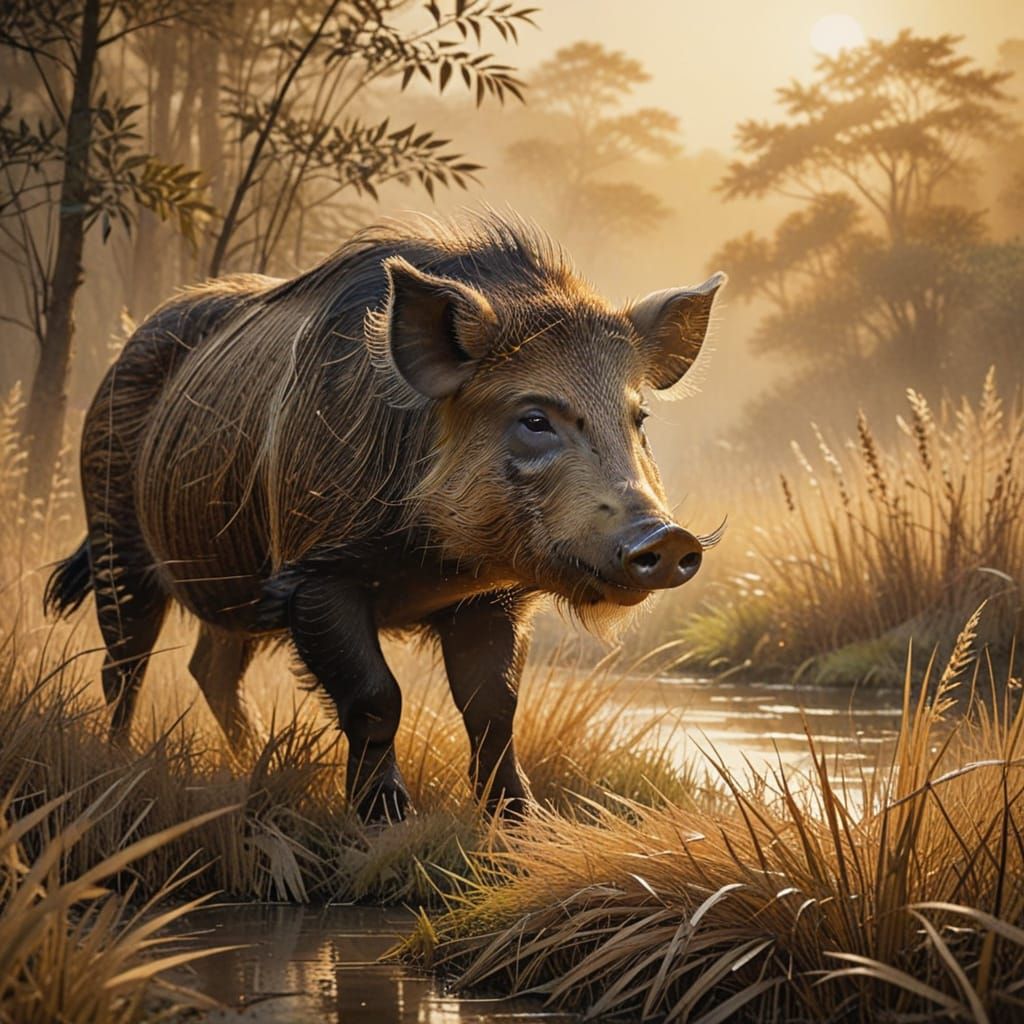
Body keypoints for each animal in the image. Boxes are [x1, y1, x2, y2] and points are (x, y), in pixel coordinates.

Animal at [46, 213, 725, 821]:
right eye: (535, 418)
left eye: (639, 419)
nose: (669, 537)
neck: (434, 563)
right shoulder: (316, 572)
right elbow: (376, 697)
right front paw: (386, 819)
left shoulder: (493, 597)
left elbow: (493, 708)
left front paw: (520, 823)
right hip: (113, 533)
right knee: (125, 662)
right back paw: (119, 765)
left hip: (238, 586)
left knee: (209, 667)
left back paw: (246, 763)